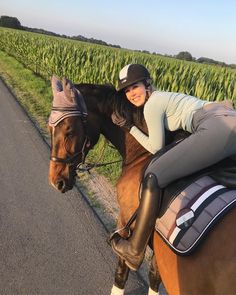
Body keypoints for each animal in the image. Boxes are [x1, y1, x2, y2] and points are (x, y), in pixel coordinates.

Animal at [48, 78, 236, 295]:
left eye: (69, 130)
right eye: (49, 129)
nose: (56, 181)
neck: (142, 154)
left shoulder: (125, 224)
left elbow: (121, 275)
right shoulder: (162, 254)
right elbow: (154, 278)